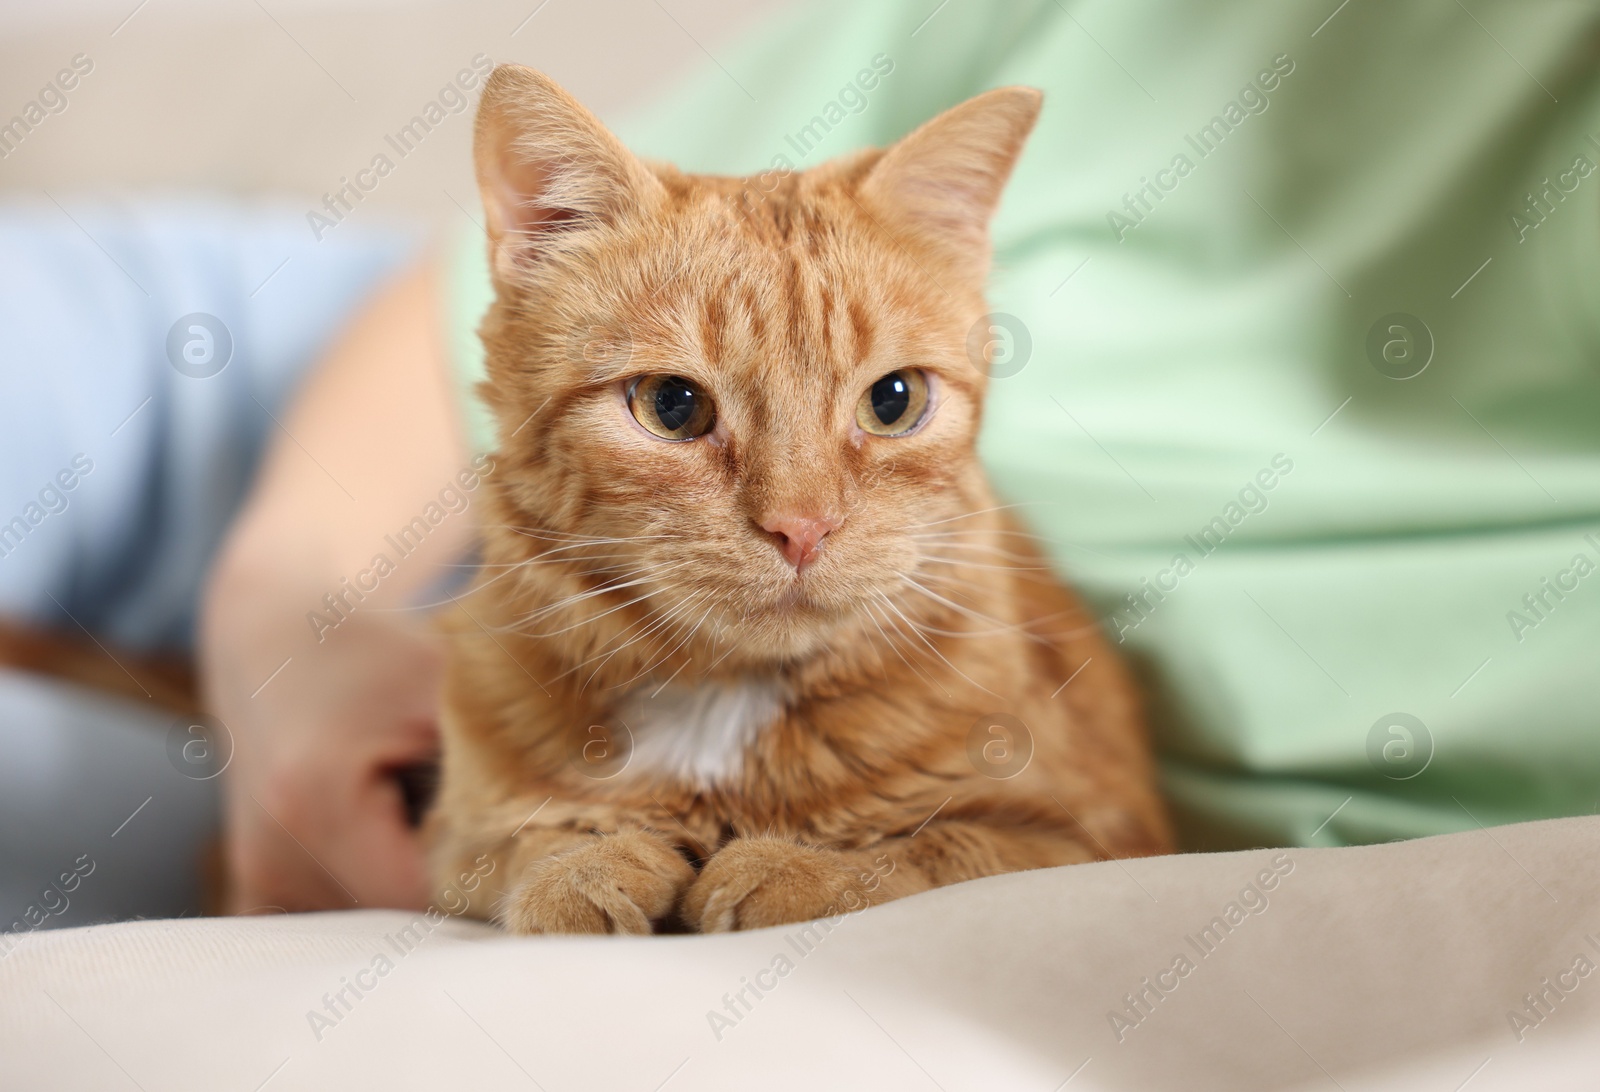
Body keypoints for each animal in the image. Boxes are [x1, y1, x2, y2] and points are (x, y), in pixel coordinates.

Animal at [432, 63, 1171, 928]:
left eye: (894, 401)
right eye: (671, 406)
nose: (802, 528)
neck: (725, 714)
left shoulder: (1093, 837)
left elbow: (935, 850)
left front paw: (799, 867)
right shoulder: (456, 844)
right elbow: (526, 843)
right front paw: (586, 865)